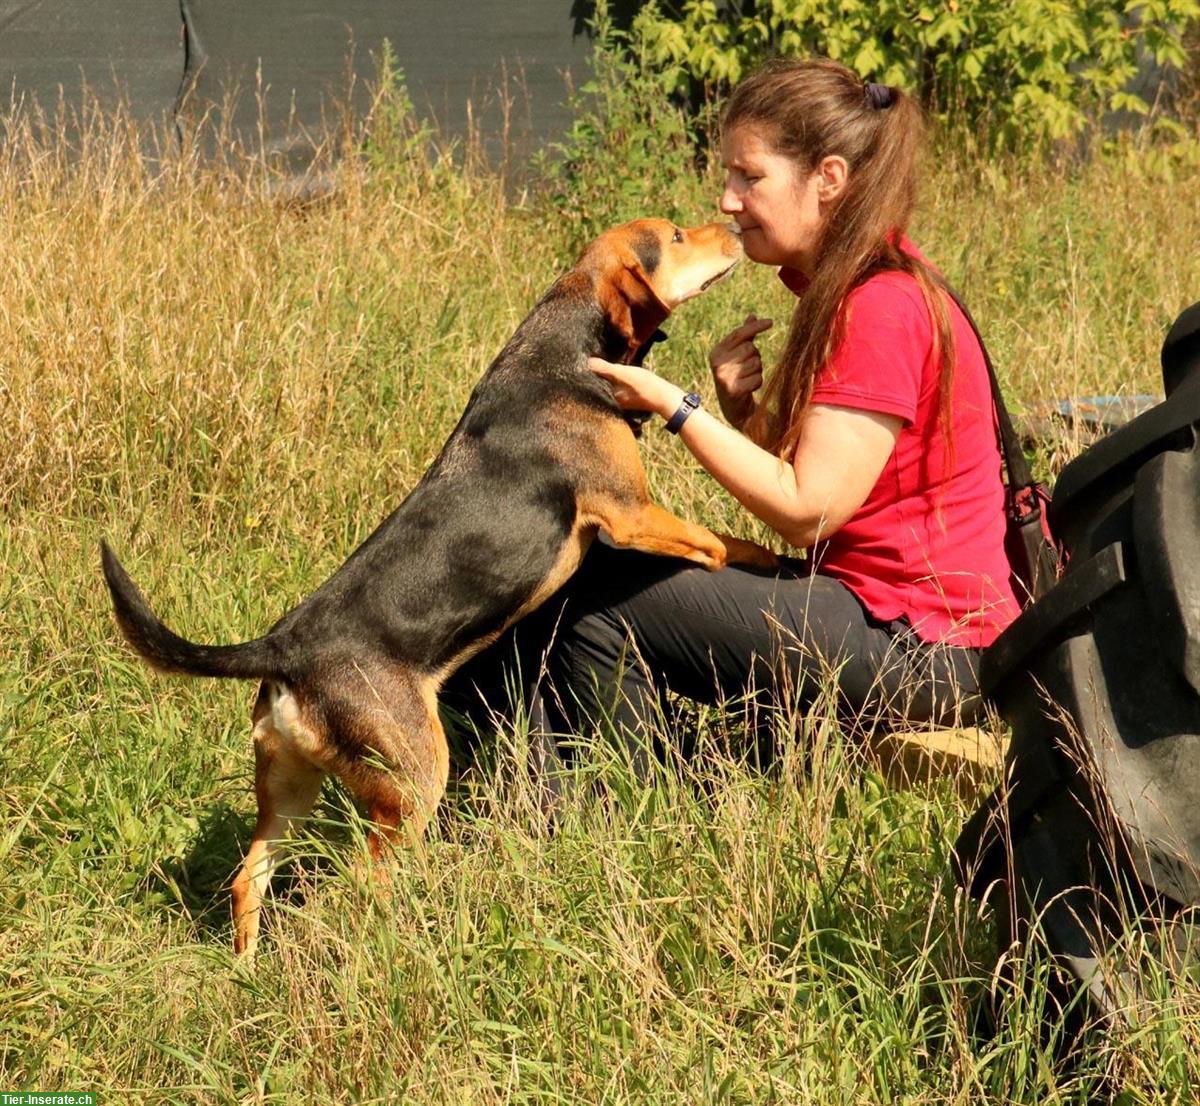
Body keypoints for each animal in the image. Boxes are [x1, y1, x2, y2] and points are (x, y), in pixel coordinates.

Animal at [105, 217, 777, 954]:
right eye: (677, 236)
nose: (734, 226)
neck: (563, 349)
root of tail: (286, 649)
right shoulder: (634, 514)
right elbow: (724, 543)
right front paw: (776, 559)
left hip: (288, 787)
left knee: (246, 879)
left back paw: (249, 965)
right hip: (417, 778)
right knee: (361, 886)